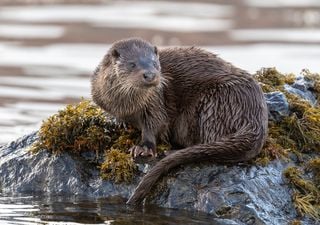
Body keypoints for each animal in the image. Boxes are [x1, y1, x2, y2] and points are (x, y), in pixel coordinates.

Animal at [90, 37, 268, 205]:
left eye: (155, 63)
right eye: (132, 64)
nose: (150, 74)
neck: (126, 106)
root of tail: (254, 118)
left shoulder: (155, 101)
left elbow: (154, 124)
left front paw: (144, 147)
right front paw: (117, 121)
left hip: (215, 103)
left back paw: (172, 151)